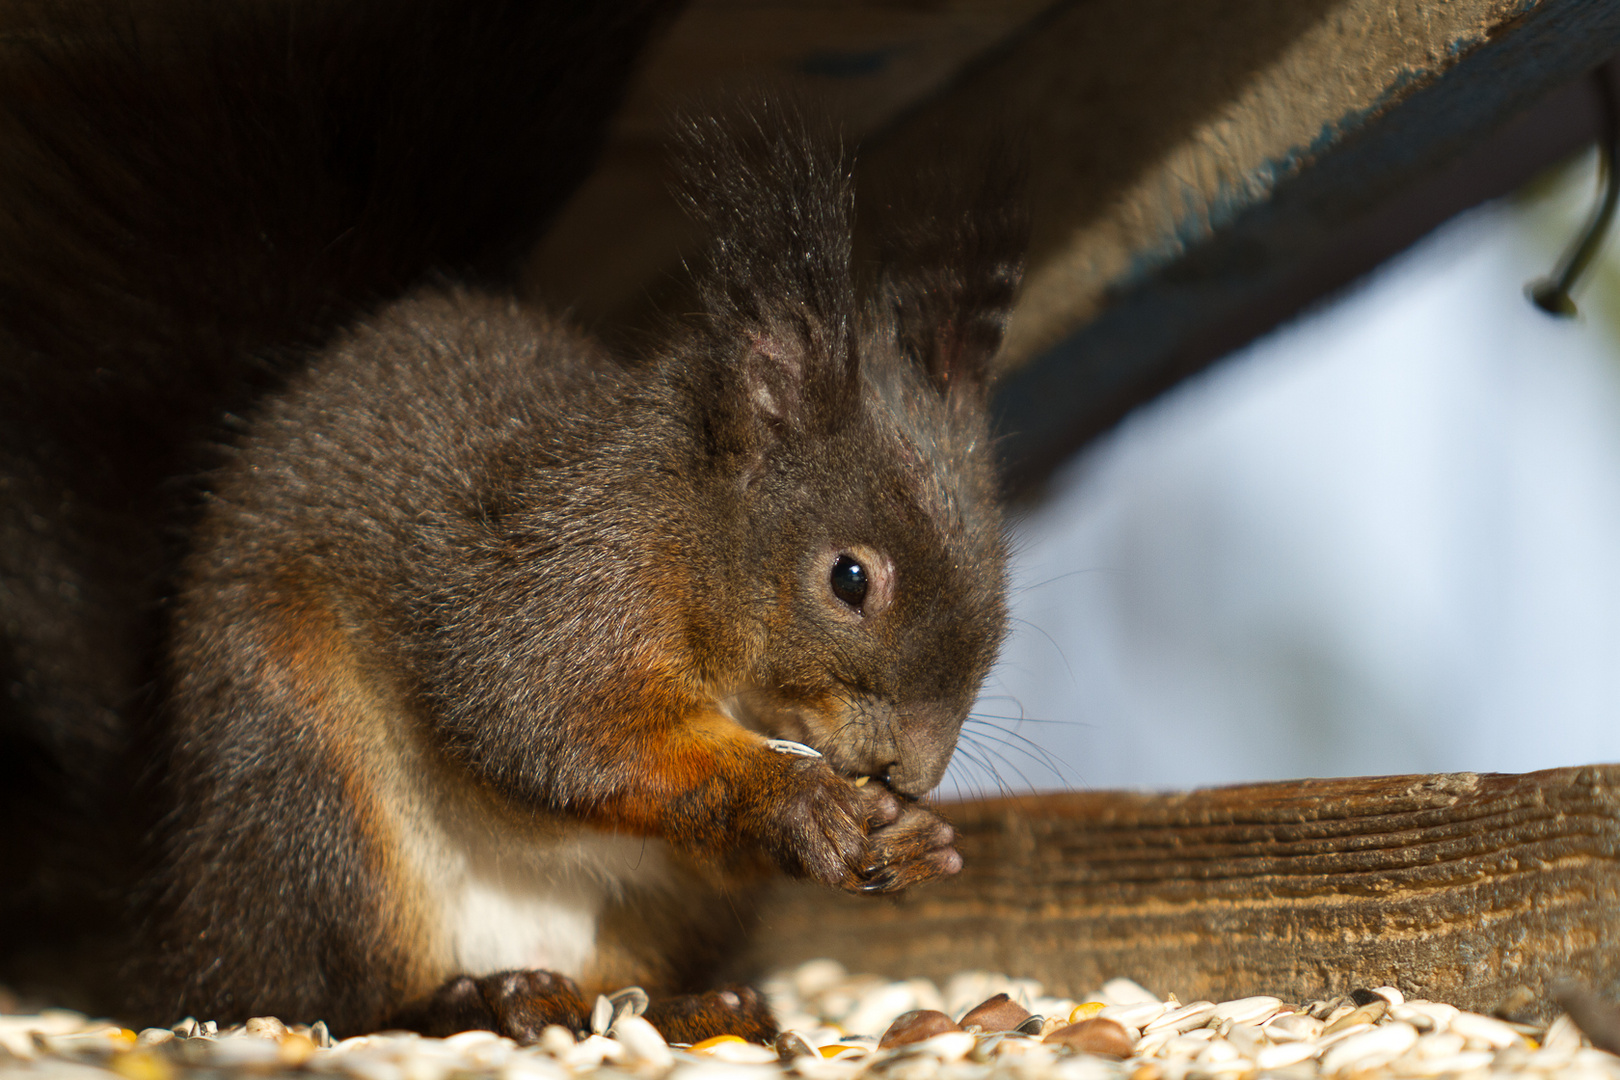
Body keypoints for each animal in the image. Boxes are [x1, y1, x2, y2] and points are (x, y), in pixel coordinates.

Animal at [0, 0, 1023, 1049]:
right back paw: (470, 1000)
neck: (692, 527)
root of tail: (168, 909)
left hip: (661, 909)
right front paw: (791, 797)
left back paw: (688, 1005)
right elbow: (548, 725)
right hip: (305, 792)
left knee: (617, 984)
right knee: (311, 995)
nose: (916, 771)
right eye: (849, 579)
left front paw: (917, 841)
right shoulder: (562, 580)